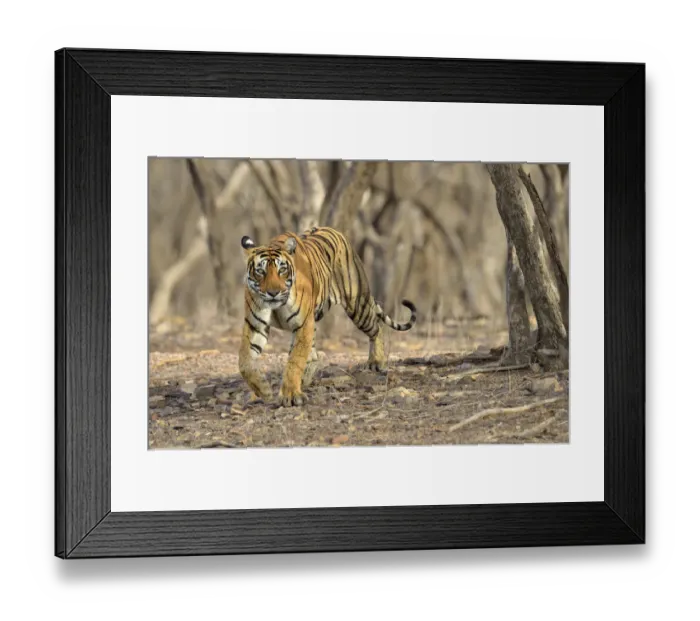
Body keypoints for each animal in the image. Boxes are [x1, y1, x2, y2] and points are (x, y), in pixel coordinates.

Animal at [238, 226, 417, 407]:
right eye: (260, 271)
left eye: (282, 270)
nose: (273, 293)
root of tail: (333, 230)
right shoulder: (255, 325)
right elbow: (245, 362)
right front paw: (264, 390)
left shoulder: (303, 324)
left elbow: (295, 360)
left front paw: (290, 395)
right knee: (314, 355)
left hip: (358, 306)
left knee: (376, 328)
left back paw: (376, 362)